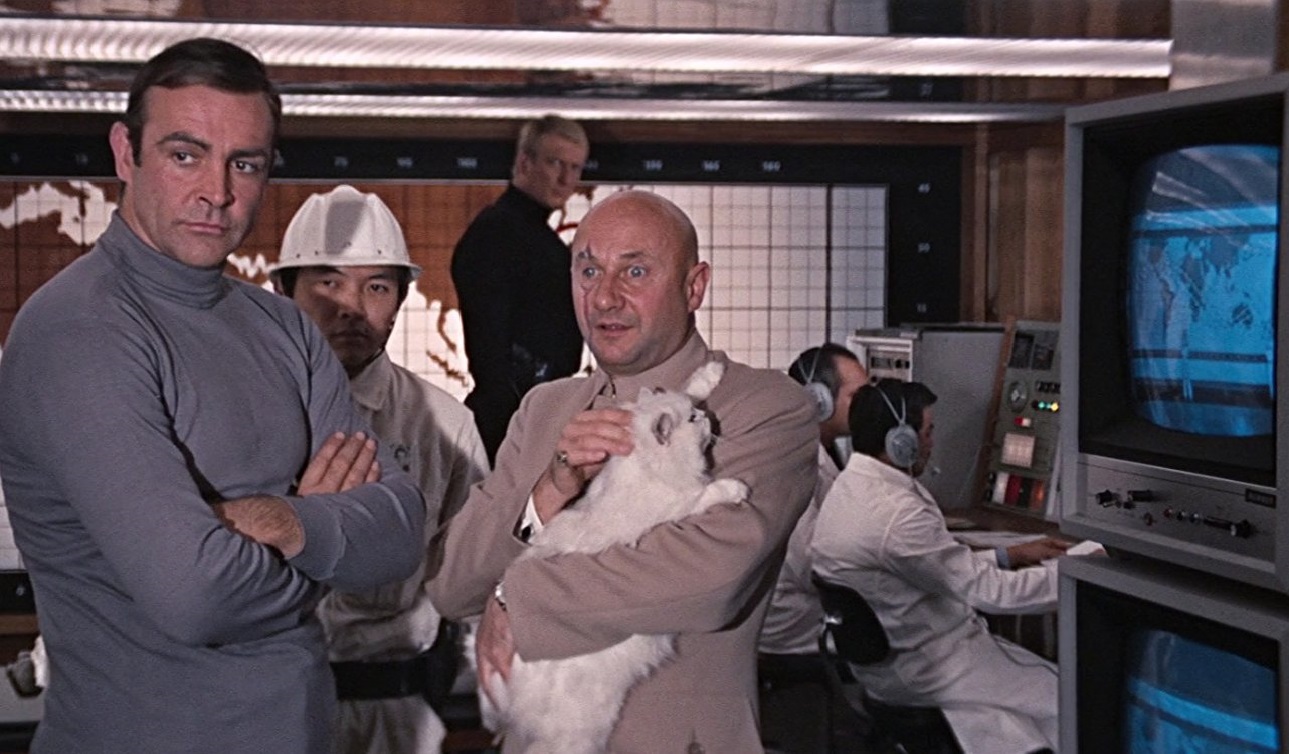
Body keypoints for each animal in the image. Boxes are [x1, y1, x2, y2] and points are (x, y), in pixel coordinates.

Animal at [480, 360, 749, 754]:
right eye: (692, 420)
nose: (706, 417)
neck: (644, 464)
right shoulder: (681, 504)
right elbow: (710, 492)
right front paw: (737, 489)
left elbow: (691, 384)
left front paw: (711, 371)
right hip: (579, 732)